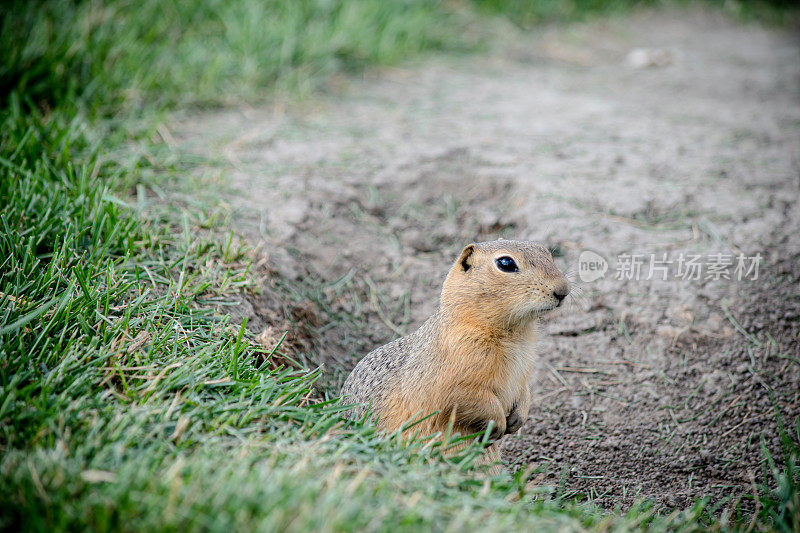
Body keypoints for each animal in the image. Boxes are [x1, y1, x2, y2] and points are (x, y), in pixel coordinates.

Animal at [340, 239, 568, 460]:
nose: (563, 290)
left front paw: (519, 418)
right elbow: (466, 398)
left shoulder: (522, 371)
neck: (515, 333)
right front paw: (497, 425)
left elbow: (524, 390)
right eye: (505, 263)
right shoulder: (456, 374)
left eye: (547, 252)